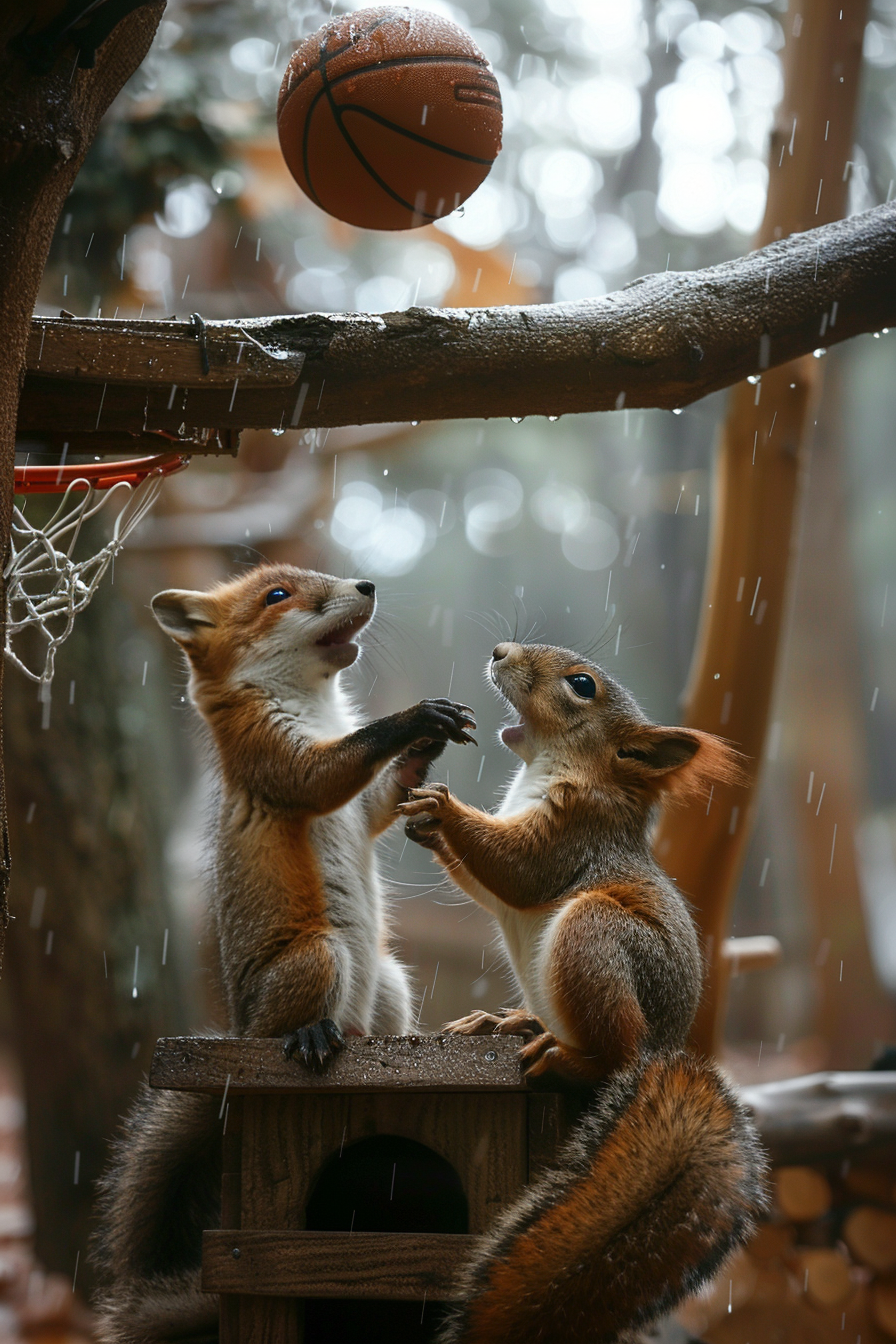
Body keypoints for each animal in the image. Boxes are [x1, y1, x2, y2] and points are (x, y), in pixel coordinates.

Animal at [92, 567, 475, 1344]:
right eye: (275, 597)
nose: (366, 583)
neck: (316, 703)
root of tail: (242, 1029)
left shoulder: (364, 806)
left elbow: (380, 799)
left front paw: (432, 740)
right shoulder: (271, 759)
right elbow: (323, 775)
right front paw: (413, 718)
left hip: (388, 984)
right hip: (317, 959)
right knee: (282, 1031)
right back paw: (309, 1037)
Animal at [400, 639, 773, 1344]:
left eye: (581, 685)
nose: (500, 650)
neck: (550, 767)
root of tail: (658, 1052)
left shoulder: (574, 829)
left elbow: (515, 868)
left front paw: (440, 806)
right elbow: (487, 883)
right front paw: (422, 818)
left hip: (594, 938)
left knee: (611, 1053)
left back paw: (566, 1058)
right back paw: (510, 1024)